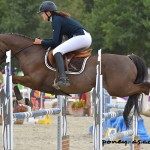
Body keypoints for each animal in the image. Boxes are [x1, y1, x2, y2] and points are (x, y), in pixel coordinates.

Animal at [0, 33, 149, 127]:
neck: (30, 52)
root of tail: (129, 57)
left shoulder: (33, 80)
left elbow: (13, 79)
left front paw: (21, 100)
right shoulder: (31, 80)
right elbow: (14, 80)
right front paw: (22, 100)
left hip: (120, 88)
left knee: (144, 87)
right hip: (121, 87)